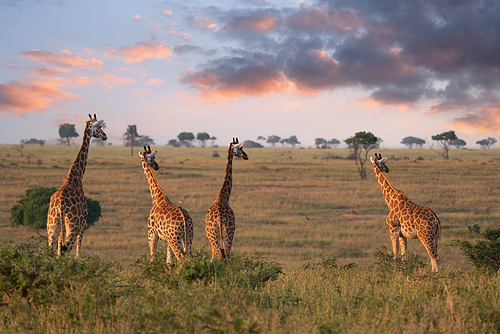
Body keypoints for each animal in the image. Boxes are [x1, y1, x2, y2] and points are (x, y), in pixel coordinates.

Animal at [46, 113, 107, 258]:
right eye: (99, 127)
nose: (105, 136)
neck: (76, 174)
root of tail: (61, 204)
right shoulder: (84, 221)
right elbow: (78, 251)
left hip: (52, 227)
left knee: (52, 251)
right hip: (72, 226)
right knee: (66, 249)